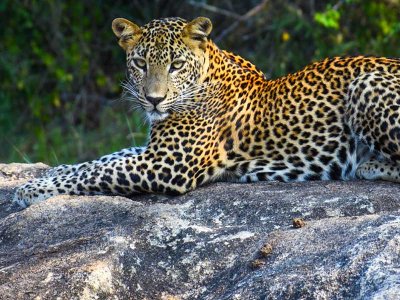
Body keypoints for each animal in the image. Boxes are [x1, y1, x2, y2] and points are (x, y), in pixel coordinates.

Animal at [12, 16, 400, 207]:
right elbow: (102, 159)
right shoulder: (154, 149)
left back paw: (367, 165)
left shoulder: (167, 164)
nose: (153, 100)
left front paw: (31, 189)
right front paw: (48, 172)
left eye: (175, 65)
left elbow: (96, 173)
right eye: (140, 63)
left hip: (365, 85)